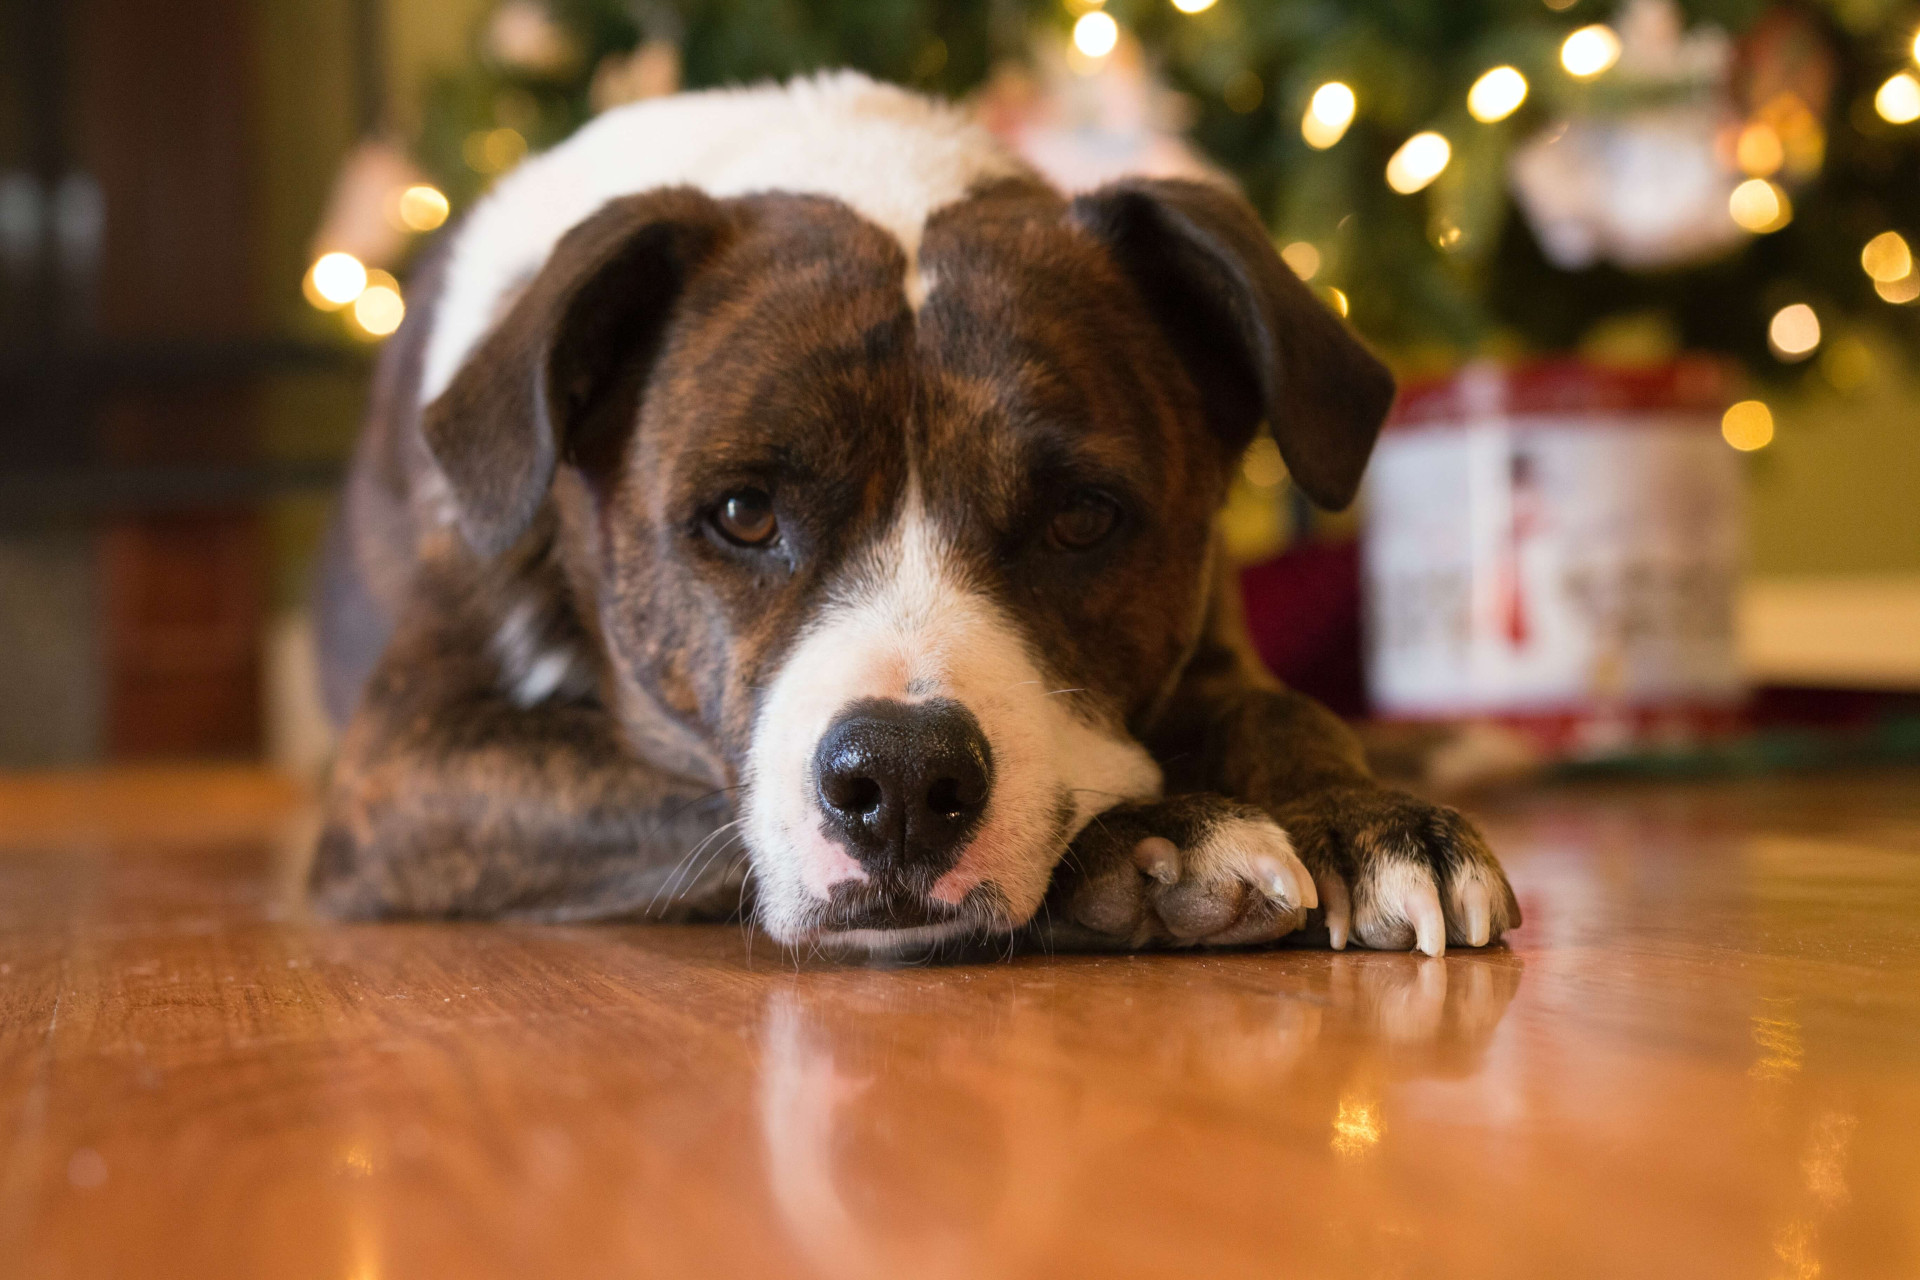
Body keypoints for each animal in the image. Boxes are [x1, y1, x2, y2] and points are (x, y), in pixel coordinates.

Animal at [311, 67, 1512, 951]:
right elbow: (698, 795)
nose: (896, 777)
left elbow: (1281, 709)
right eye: (743, 512)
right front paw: (1151, 840)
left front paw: (1365, 819)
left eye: (1083, 516)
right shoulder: (404, 770)